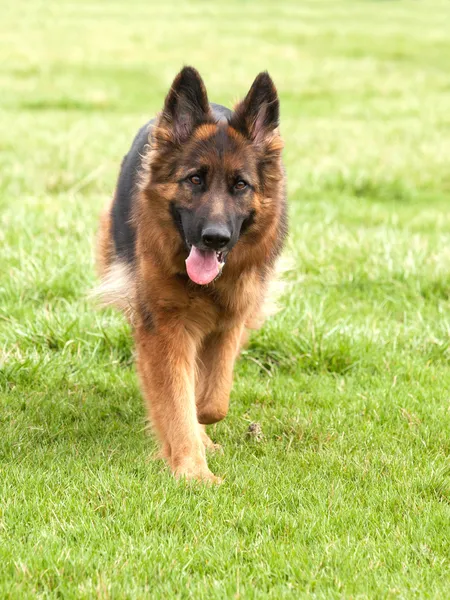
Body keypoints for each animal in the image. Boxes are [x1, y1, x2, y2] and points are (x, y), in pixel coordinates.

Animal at [97, 65, 288, 482]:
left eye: (240, 184)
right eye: (195, 179)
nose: (214, 238)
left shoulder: (232, 318)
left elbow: (213, 398)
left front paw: (201, 427)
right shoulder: (164, 327)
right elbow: (176, 400)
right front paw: (193, 473)